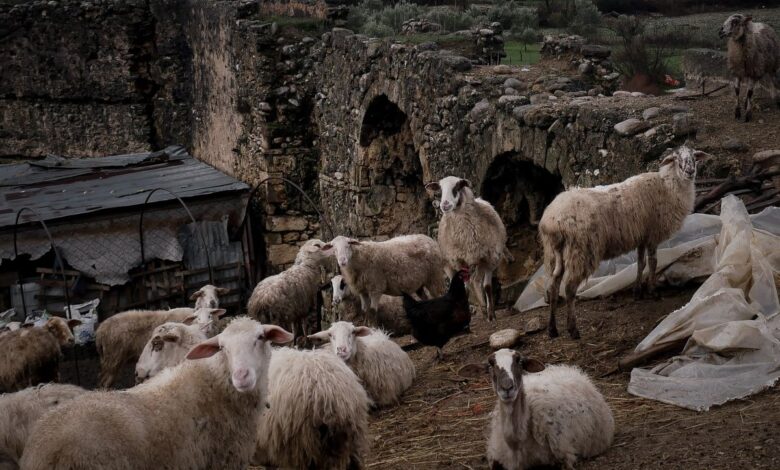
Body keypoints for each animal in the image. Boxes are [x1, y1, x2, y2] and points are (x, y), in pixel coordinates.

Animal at [22, 316, 296, 470]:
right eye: (222, 348)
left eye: (260, 337)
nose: (241, 376)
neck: (213, 383)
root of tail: (40, 449)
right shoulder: (222, 461)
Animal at [94, 304, 224, 390]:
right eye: (196, 317)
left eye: (210, 315)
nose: (205, 326)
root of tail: (100, 330)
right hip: (113, 360)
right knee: (105, 382)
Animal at [424, 176, 508, 324]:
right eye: (440, 190)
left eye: (457, 187)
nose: (445, 205)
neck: (465, 235)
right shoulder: (459, 260)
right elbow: (464, 289)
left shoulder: (489, 258)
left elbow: (487, 287)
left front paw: (491, 315)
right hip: (450, 265)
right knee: (469, 283)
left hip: (481, 261)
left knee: (478, 282)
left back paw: (486, 311)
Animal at [458, 348, 616, 470]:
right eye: (491, 364)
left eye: (519, 362)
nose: (507, 387)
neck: (518, 442)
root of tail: (565, 368)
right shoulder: (496, 458)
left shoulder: (565, 455)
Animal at [540, 146, 708, 338]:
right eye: (677, 158)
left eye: (694, 157)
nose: (690, 171)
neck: (668, 186)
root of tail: (553, 220)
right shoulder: (652, 235)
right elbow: (653, 262)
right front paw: (653, 291)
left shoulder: (642, 236)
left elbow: (641, 263)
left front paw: (637, 292)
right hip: (582, 250)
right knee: (569, 288)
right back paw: (573, 329)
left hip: (554, 253)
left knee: (553, 286)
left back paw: (552, 329)